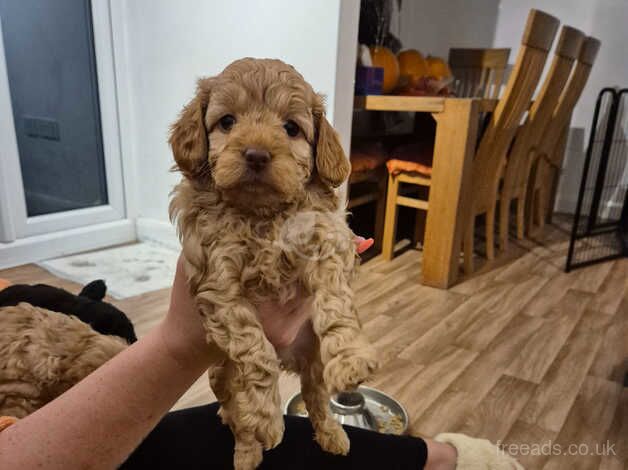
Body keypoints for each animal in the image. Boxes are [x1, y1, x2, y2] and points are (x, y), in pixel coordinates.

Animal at [168, 59, 378, 470]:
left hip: (312, 360)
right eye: (227, 122)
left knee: (316, 398)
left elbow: (336, 303)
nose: (256, 154)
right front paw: (267, 417)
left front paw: (351, 358)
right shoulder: (217, 280)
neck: (262, 216)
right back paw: (248, 451)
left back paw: (332, 434)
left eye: (291, 128)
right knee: (236, 414)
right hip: (222, 373)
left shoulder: (327, 237)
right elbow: (255, 347)